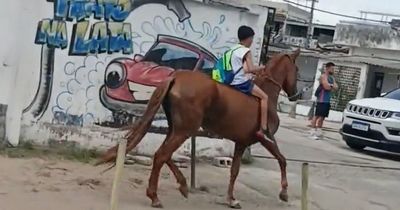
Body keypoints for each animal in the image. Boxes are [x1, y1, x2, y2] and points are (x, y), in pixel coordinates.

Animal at [97, 49, 302, 208]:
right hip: (184, 131)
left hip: (177, 129)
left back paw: (182, 185)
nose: (296, 94)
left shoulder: (241, 143)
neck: (265, 97)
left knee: (163, 154)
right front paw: (284, 193)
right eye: (297, 69)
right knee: (161, 155)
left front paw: (231, 199)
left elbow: (234, 170)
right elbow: (282, 160)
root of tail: (176, 76)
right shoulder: (265, 138)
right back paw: (155, 197)